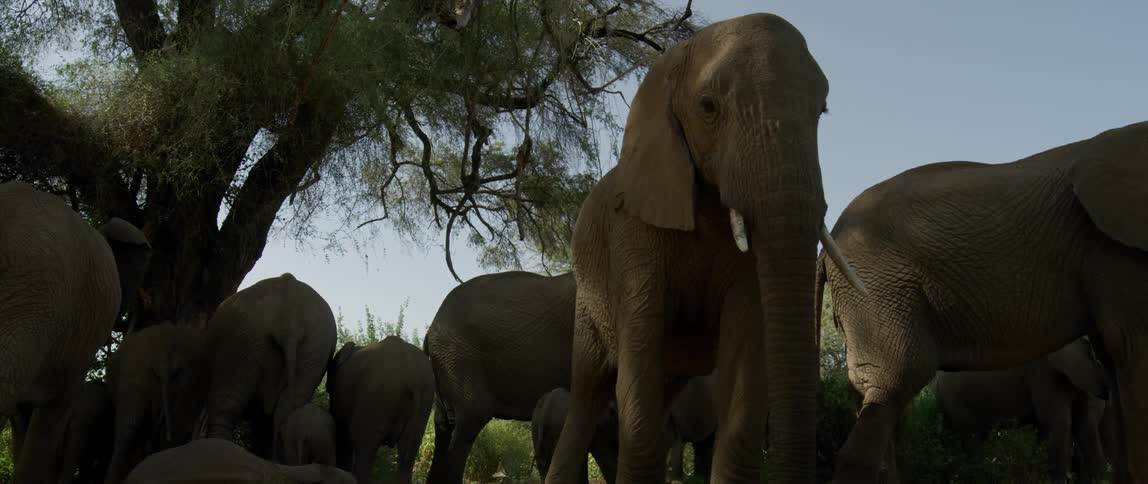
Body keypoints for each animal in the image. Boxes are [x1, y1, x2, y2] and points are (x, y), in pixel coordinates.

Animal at [543, 13, 865, 484]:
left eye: (821, 111)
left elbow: (745, 352)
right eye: (708, 107)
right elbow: (638, 352)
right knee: (588, 392)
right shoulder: (632, 234)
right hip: (587, 300)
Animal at [934, 338, 1109, 482]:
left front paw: (1100, 479)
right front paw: (1059, 480)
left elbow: (1085, 422)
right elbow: (1056, 422)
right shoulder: (1044, 372)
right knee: (972, 438)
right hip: (958, 399)